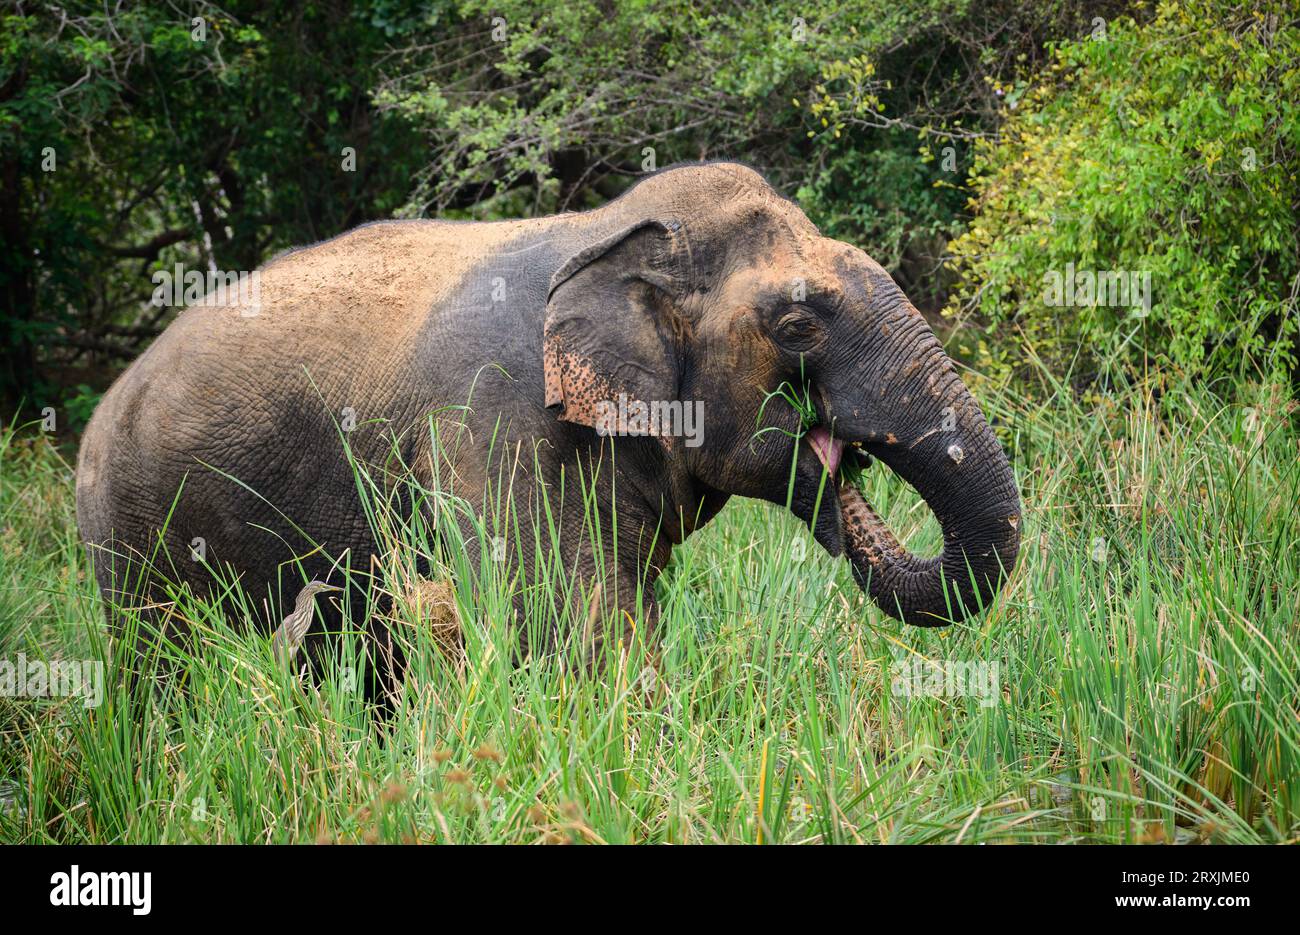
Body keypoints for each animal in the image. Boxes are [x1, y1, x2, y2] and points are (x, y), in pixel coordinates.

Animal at [76, 159, 1019, 686]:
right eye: (797, 327)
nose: (839, 460)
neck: (610, 229)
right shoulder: (492, 421)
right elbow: (567, 624)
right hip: (133, 534)